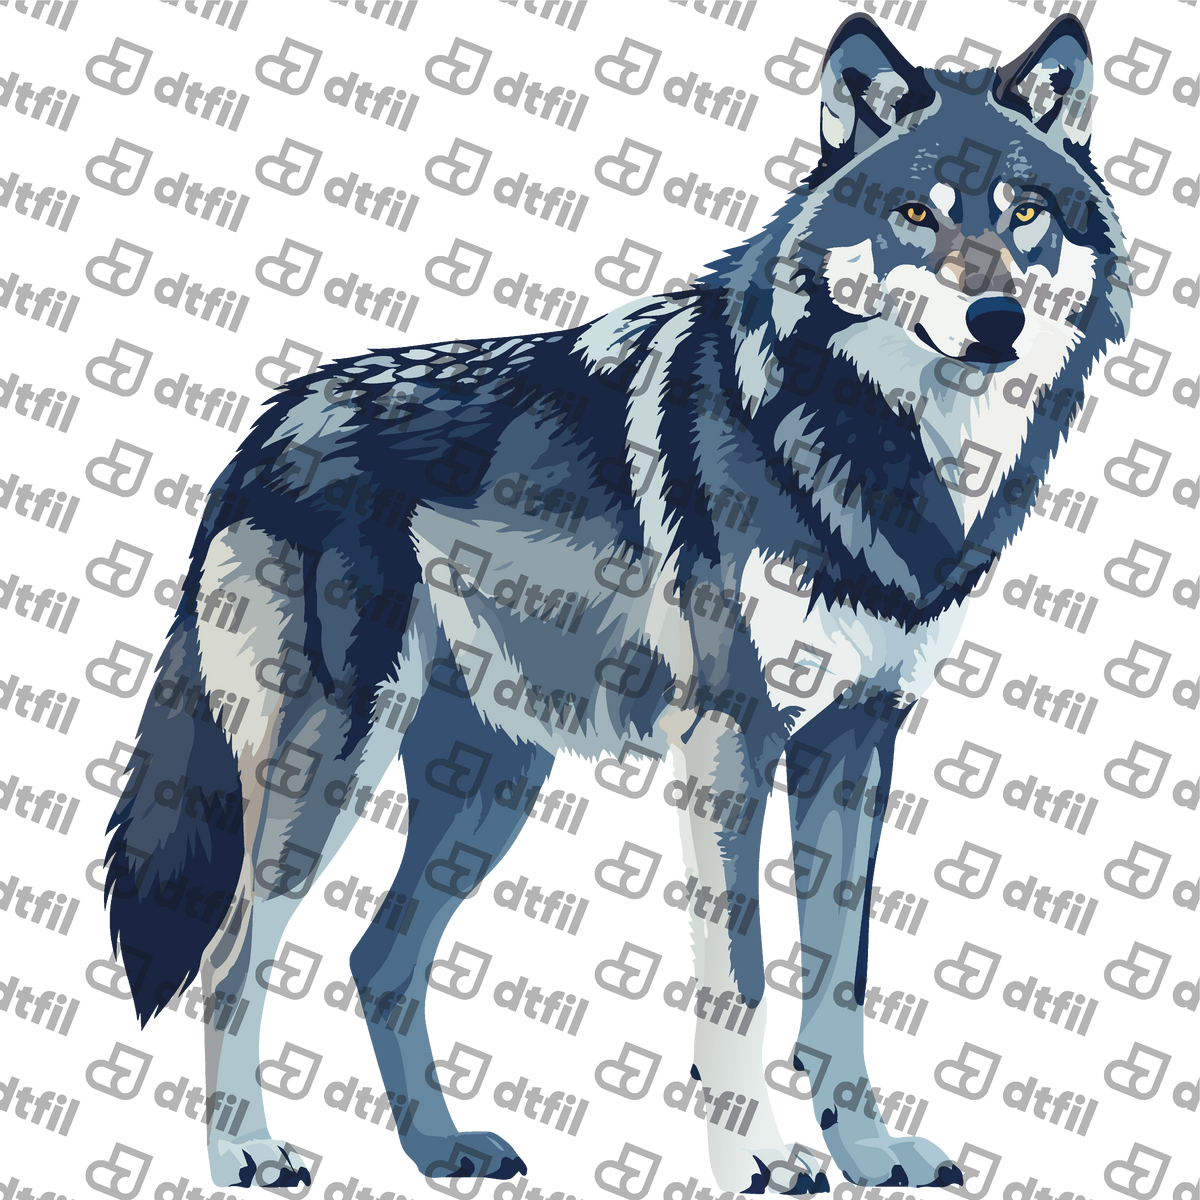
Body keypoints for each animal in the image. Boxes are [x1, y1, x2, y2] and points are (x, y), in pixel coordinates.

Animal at [100, 8, 1132, 1193]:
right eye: (918, 214)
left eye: (1025, 214)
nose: (997, 317)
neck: (861, 438)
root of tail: (269, 422)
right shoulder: (728, 741)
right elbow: (743, 980)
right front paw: (757, 1159)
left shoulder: (860, 741)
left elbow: (837, 984)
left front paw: (869, 1152)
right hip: (333, 761)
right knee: (231, 952)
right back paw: (246, 1154)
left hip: (489, 789)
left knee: (378, 955)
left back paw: (440, 1147)